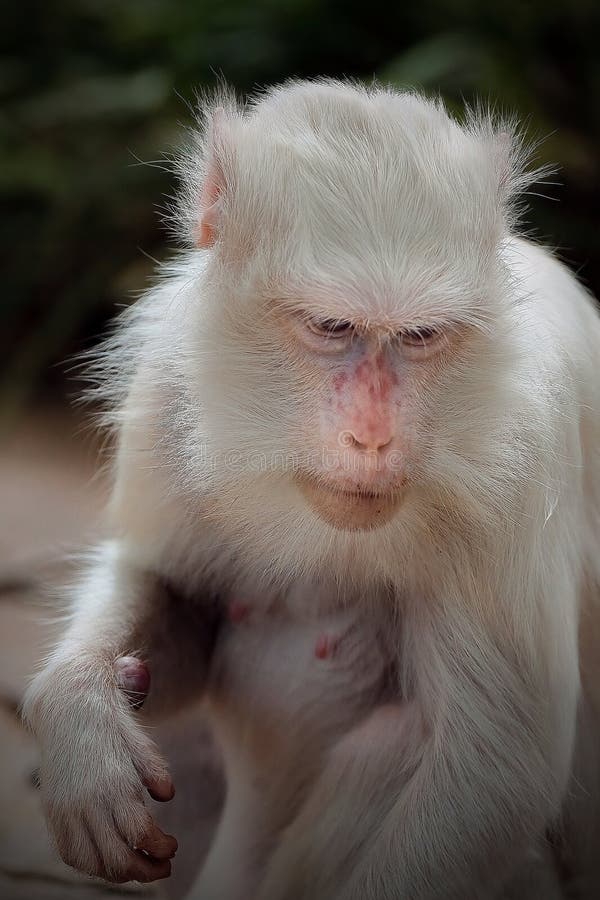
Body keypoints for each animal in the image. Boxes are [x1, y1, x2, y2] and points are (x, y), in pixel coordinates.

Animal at [22, 79, 600, 900]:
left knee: (398, 742)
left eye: (420, 337)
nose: (373, 436)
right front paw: (81, 724)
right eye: (331, 326)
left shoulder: (524, 444)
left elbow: (498, 774)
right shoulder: (170, 388)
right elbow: (171, 595)